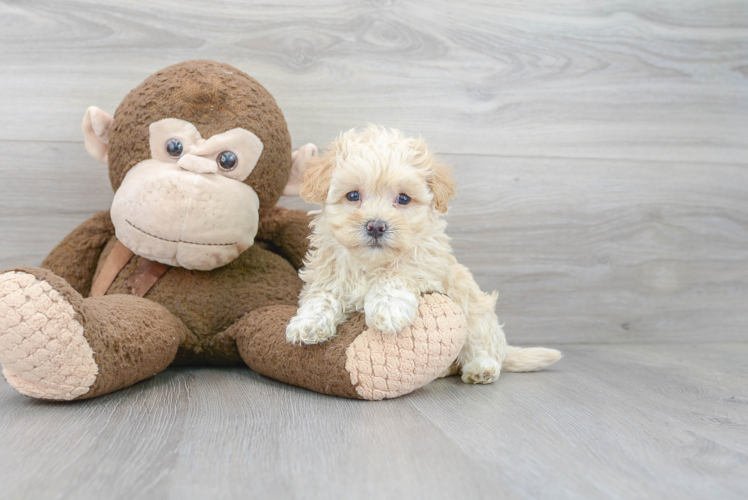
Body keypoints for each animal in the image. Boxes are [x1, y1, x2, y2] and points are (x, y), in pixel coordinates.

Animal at [286, 125, 560, 382]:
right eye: (353, 195)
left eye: (403, 199)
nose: (376, 226)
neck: (372, 263)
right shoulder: (328, 272)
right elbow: (323, 296)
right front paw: (307, 324)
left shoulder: (426, 264)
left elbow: (398, 274)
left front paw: (387, 310)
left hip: (476, 316)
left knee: (481, 347)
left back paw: (481, 369)